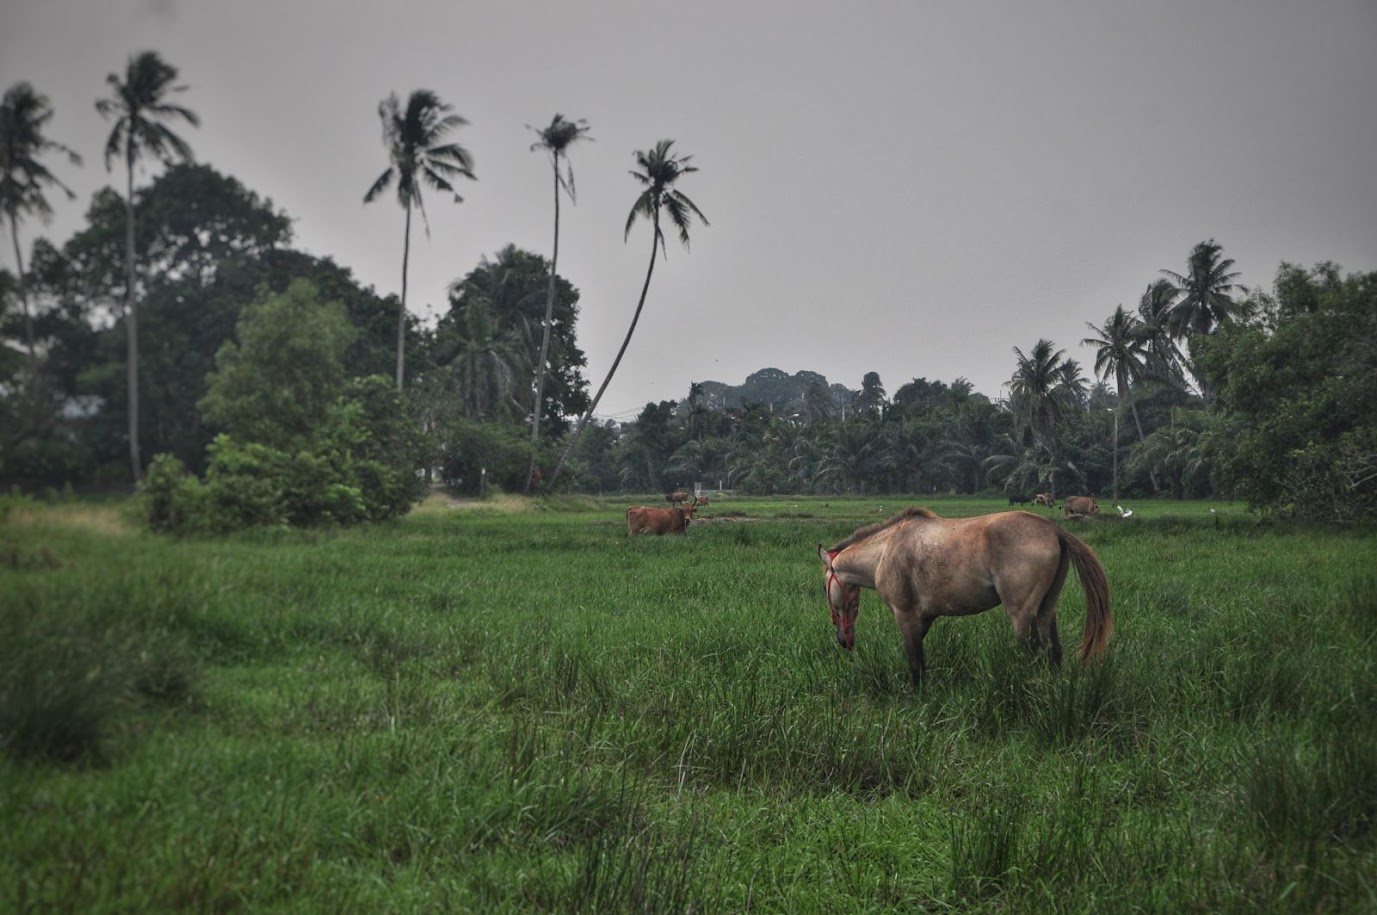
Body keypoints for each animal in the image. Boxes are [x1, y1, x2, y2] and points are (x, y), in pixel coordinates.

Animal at [815, 507, 1107, 686]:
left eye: (824, 588)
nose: (844, 640)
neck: (885, 551)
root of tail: (1054, 530)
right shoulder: (924, 619)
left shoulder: (906, 617)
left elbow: (915, 663)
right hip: (1046, 610)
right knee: (1053, 652)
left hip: (1022, 615)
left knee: (1032, 654)